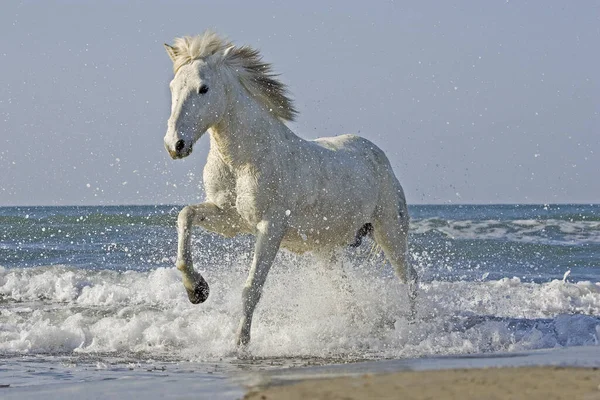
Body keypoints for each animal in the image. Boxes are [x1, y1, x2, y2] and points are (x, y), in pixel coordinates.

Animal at [164, 31, 418, 346]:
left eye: (203, 88)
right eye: (173, 87)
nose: (175, 144)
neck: (244, 159)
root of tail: (378, 156)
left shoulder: (270, 226)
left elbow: (251, 289)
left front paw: (240, 344)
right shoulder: (228, 218)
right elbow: (185, 215)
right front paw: (196, 289)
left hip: (389, 232)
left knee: (409, 278)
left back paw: (411, 325)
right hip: (327, 251)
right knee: (347, 295)